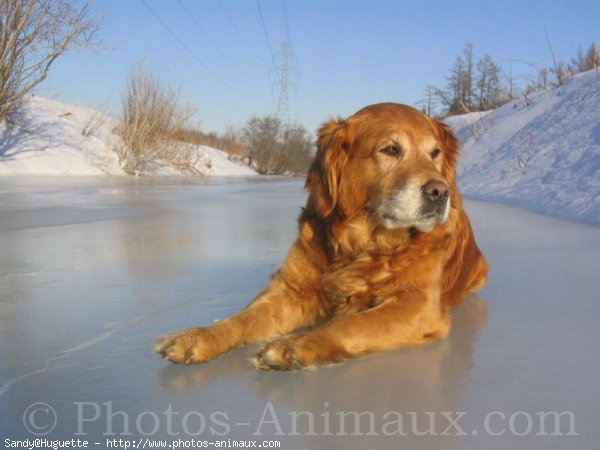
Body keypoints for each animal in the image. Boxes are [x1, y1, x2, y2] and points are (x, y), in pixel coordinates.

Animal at [155, 103, 488, 370]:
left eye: (435, 154)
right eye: (391, 150)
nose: (439, 191)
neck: (364, 244)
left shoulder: (419, 305)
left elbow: (349, 324)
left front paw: (295, 345)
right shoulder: (292, 290)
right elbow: (243, 319)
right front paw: (198, 337)